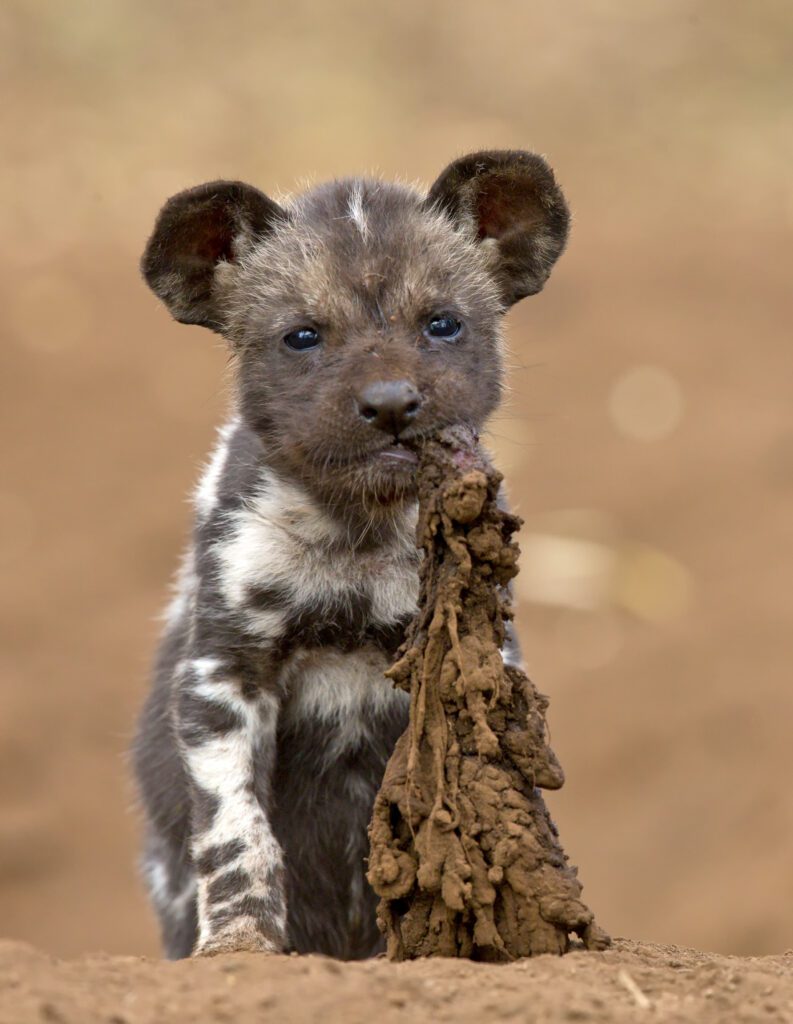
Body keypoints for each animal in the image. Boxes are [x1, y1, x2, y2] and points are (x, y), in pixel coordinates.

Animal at [135, 151, 569, 958]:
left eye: (442, 325)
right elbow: (236, 836)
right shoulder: (223, 679)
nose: (391, 402)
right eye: (303, 337)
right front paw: (239, 948)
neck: (357, 540)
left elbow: (478, 822)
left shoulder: (468, 664)